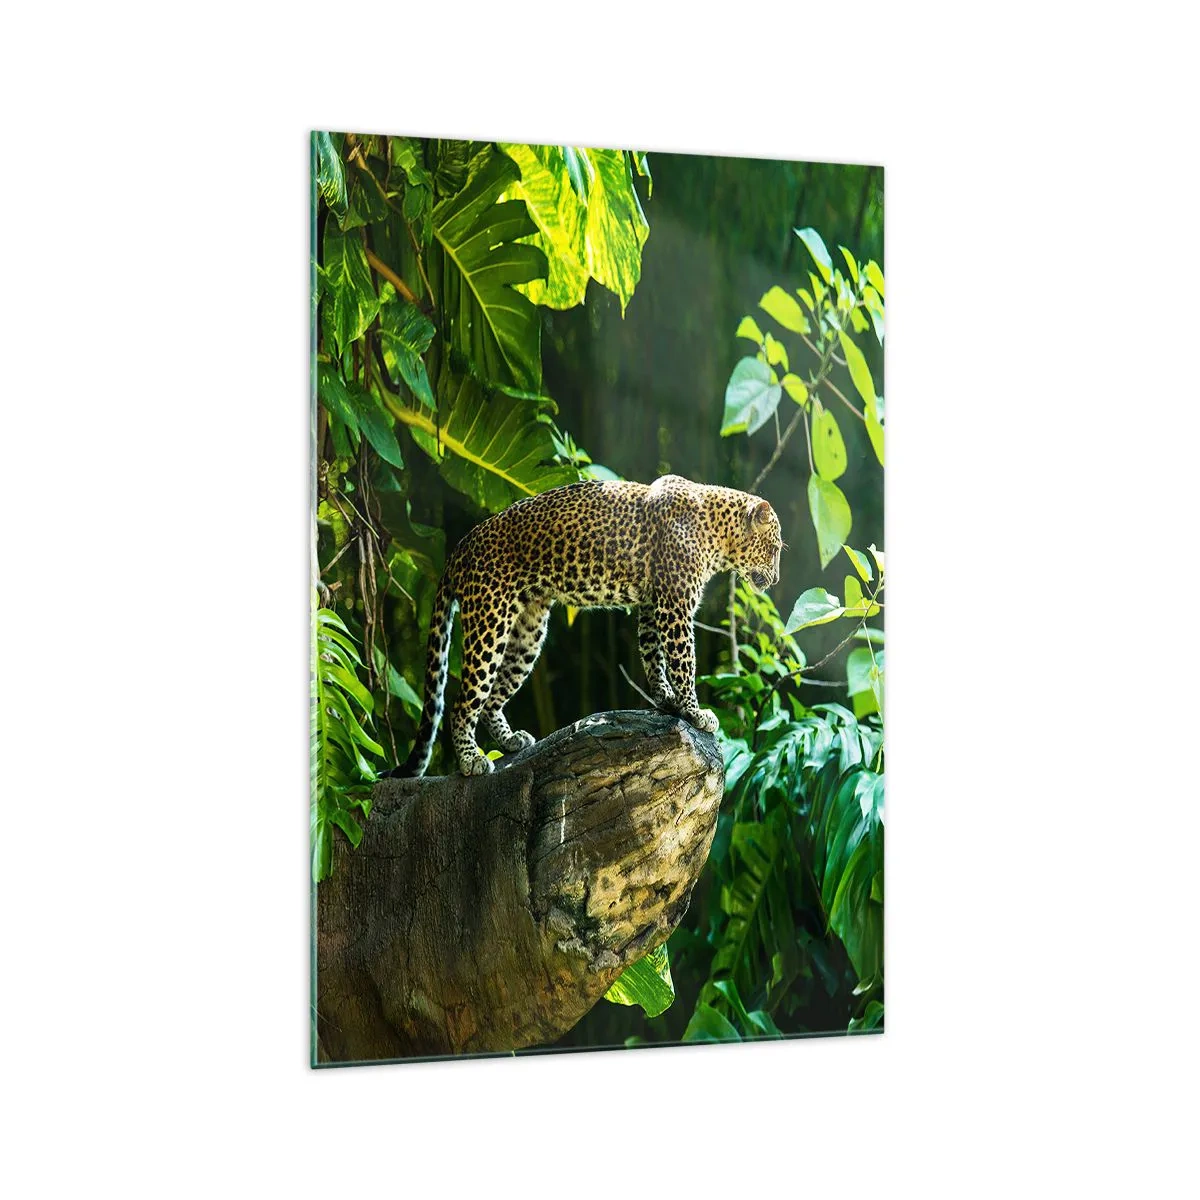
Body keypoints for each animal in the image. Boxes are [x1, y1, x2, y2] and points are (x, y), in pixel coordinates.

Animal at [393, 473, 783, 777]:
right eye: (775, 548)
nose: (777, 579)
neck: (718, 532)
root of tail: (460, 546)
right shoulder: (675, 607)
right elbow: (683, 662)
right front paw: (695, 711)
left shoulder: (651, 604)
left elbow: (653, 655)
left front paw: (666, 700)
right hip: (489, 621)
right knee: (463, 702)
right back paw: (470, 760)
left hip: (528, 632)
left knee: (492, 698)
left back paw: (510, 741)